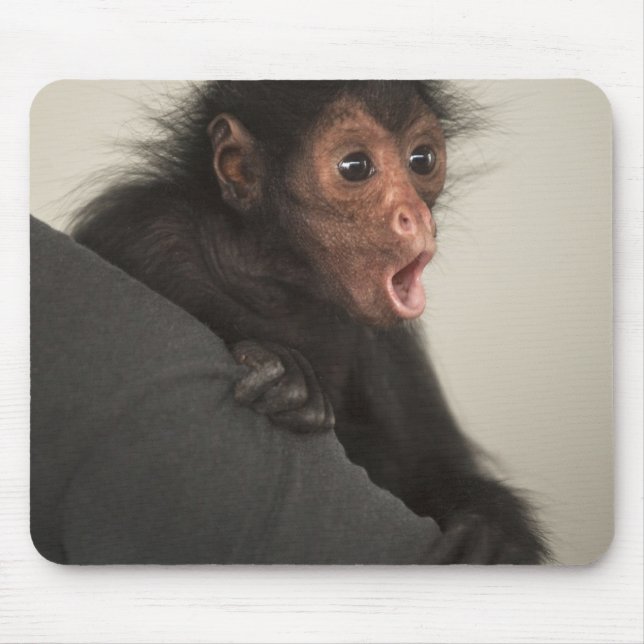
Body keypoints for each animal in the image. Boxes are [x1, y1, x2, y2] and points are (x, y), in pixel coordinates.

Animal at [71, 81, 549, 564]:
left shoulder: (385, 341)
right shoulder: (146, 234)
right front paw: (283, 370)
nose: (416, 215)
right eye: (355, 167)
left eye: (422, 160)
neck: (270, 284)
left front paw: (492, 529)